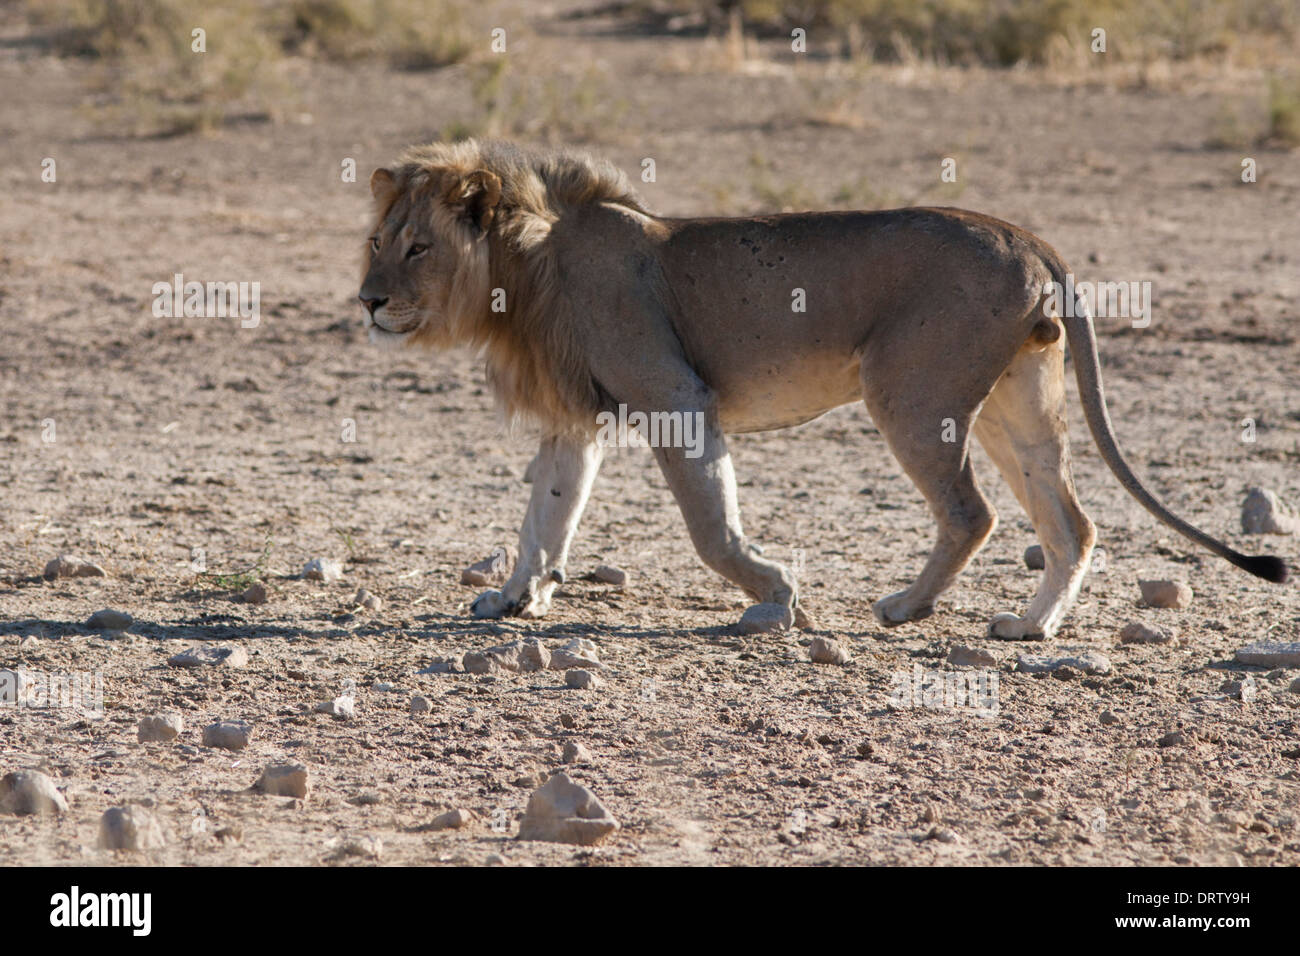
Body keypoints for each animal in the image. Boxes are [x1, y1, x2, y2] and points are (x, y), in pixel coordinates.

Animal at [357, 139, 1287, 640]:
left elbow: (710, 526)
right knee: (1071, 520)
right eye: (375, 241)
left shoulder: (676, 394)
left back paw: (906, 607)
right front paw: (514, 598)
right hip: (1014, 403)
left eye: (416, 249)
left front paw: (775, 596)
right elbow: (543, 518)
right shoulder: (575, 418)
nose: (366, 301)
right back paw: (1030, 624)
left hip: (911, 393)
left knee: (973, 513)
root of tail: (1026, 236)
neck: (522, 264)